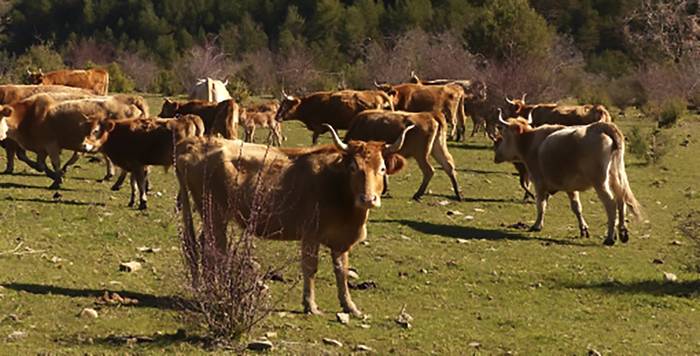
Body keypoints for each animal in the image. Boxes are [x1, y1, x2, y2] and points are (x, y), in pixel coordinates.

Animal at [178, 124, 412, 314]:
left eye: (382, 168)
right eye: (354, 168)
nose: (368, 198)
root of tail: (196, 144)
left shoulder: (341, 240)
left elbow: (341, 270)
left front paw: (350, 306)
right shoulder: (310, 234)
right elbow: (310, 267)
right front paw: (310, 305)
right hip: (214, 213)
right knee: (212, 249)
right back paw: (215, 289)